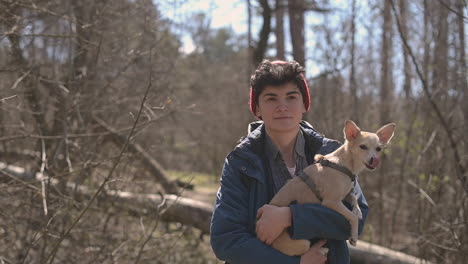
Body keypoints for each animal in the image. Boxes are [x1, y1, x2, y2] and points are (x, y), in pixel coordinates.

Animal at [266, 120, 394, 256]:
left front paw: (358, 210)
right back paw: (321, 251)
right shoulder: (332, 202)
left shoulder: (345, 193)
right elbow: (352, 217)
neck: (345, 164)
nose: (374, 159)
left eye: (378, 149)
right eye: (363, 147)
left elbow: (354, 197)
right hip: (302, 243)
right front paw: (354, 236)